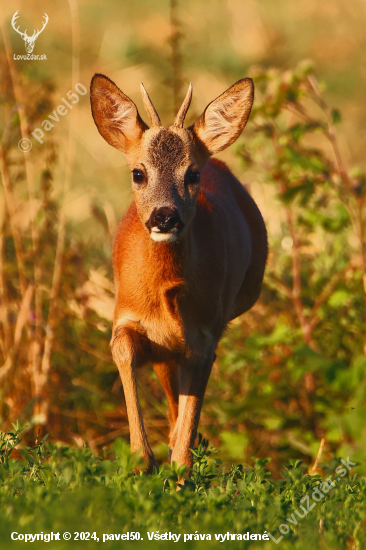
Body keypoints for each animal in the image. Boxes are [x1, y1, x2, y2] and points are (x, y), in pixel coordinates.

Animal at [88, 74, 266, 474]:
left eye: (192, 174)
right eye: (138, 173)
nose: (165, 216)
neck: (165, 295)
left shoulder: (205, 334)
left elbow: (191, 411)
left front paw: (181, 462)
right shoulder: (125, 314)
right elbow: (122, 351)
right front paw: (142, 457)